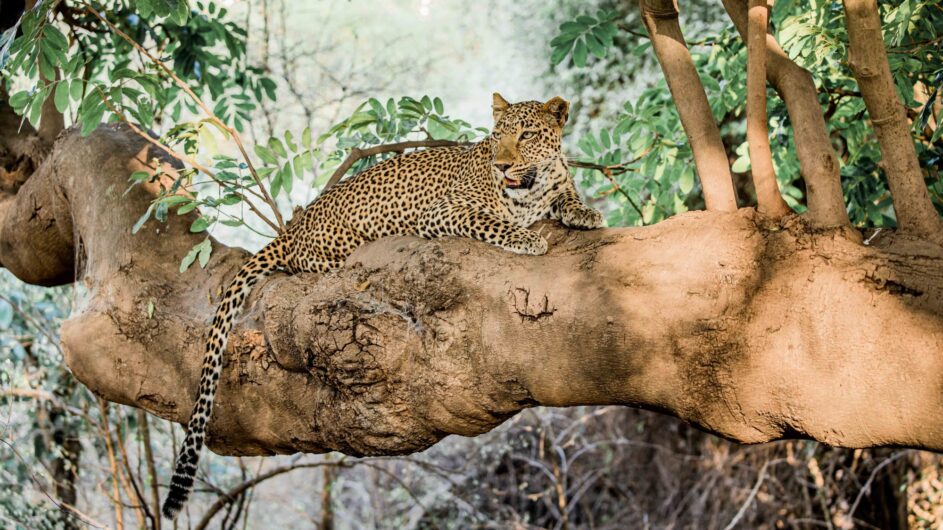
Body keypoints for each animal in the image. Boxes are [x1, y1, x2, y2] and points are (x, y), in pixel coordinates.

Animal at [161, 93, 604, 518]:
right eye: (498, 136)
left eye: (526, 135)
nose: (502, 164)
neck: (532, 187)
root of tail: (295, 227)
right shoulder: (445, 211)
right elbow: (494, 222)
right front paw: (528, 238)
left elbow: (567, 194)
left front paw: (586, 212)